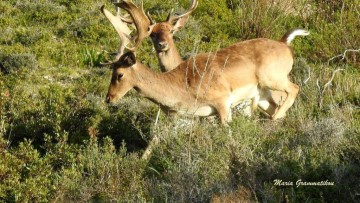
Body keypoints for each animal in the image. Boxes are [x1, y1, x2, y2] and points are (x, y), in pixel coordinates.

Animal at [100, 0, 310, 123]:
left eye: (119, 74)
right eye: (152, 34)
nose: (108, 98)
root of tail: (285, 44)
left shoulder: (223, 102)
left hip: (272, 79)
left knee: (295, 89)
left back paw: (275, 118)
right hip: (263, 96)